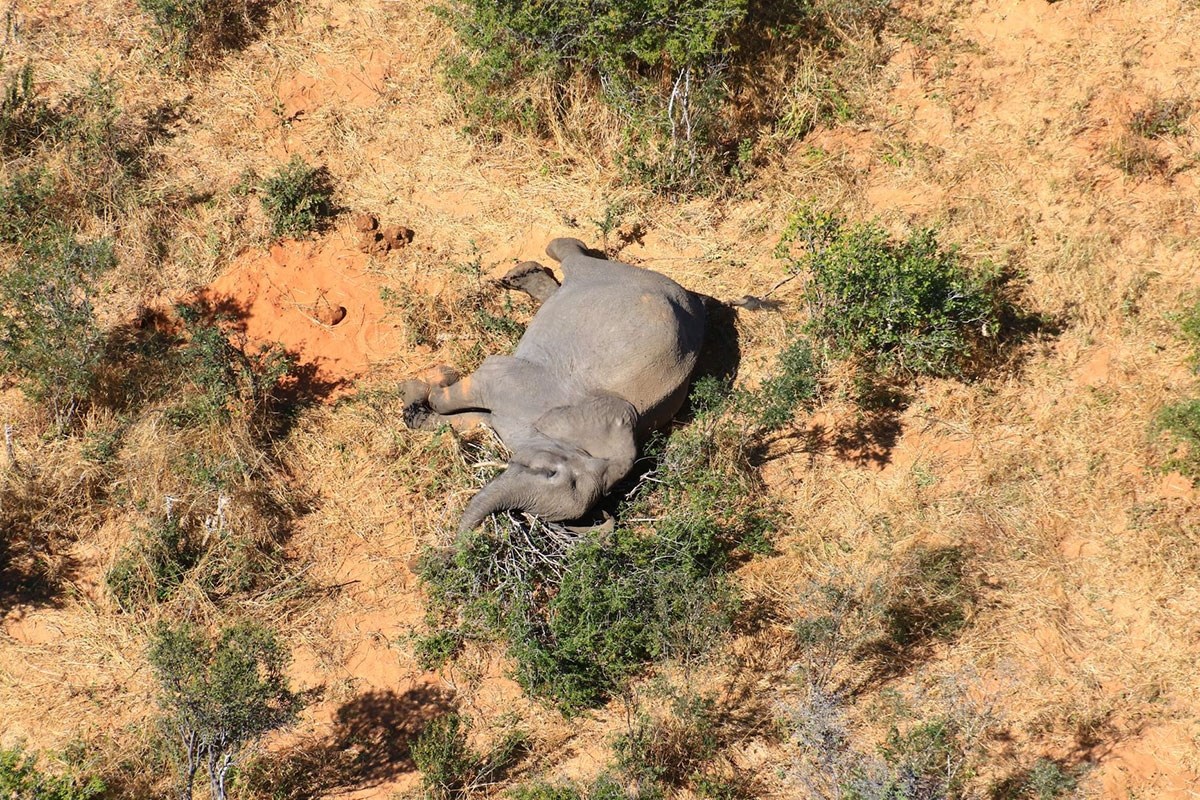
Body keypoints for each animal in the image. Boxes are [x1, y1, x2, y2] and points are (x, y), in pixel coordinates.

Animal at [398, 237, 705, 537]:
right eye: (550, 472)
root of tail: (690, 297)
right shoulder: (523, 387)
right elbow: (471, 387)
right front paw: (432, 380)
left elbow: (474, 419)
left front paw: (417, 401)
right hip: (616, 275)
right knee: (574, 260)